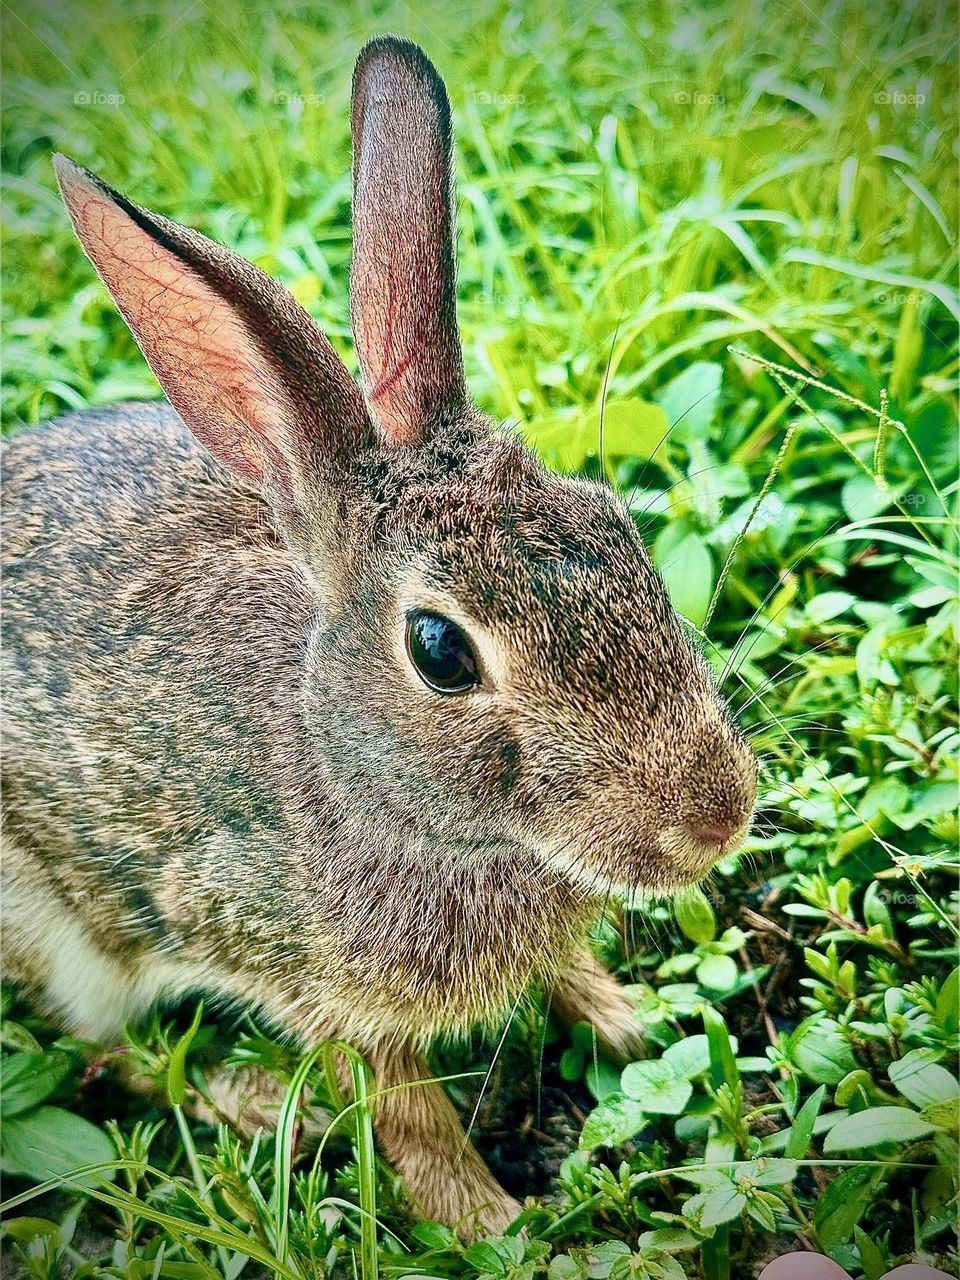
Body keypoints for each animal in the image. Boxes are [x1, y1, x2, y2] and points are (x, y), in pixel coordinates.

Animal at [0, 34, 758, 1235]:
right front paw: (493, 1223)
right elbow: (404, 1113)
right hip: (57, 921)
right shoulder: (301, 972)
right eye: (441, 652)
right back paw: (261, 1106)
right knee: (101, 1050)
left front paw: (628, 1019)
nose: (719, 819)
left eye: (614, 517)